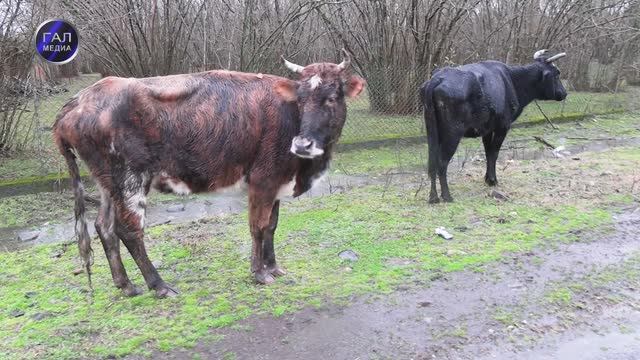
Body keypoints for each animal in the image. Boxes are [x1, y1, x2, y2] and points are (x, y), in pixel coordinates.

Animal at [53, 50, 364, 298]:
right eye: (300, 99)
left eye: (332, 97)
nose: (302, 144)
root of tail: (79, 101)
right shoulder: (262, 181)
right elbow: (258, 227)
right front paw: (259, 273)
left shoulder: (276, 182)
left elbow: (272, 226)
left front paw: (274, 267)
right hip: (129, 180)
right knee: (128, 230)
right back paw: (159, 285)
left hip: (108, 183)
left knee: (104, 227)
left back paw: (126, 285)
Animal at [422, 50, 568, 202]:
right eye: (557, 73)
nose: (564, 93)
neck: (512, 80)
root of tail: (437, 78)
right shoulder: (502, 127)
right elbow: (494, 153)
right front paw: (492, 180)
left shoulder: (487, 130)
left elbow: (488, 153)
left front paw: (487, 178)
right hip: (452, 134)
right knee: (442, 162)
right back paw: (446, 196)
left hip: (432, 131)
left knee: (432, 162)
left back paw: (433, 197)